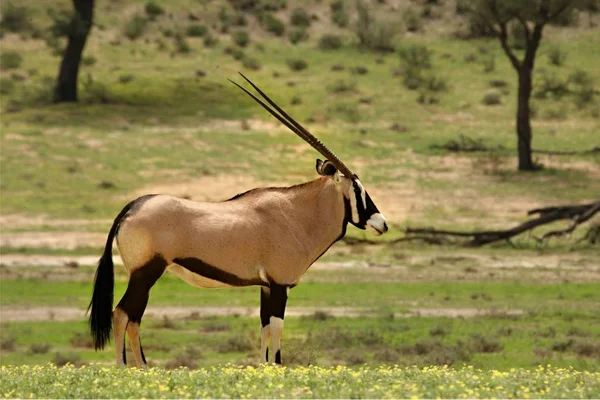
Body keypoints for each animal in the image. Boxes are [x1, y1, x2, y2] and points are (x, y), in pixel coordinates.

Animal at [89, 73, 390, 368]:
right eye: (358, 190)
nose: (382, 224)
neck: (297, 214)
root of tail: (132, 207)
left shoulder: (266, 286)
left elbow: (265, 330)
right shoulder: (279, 285)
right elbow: (277, 329)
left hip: (146, 276)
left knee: (134, 318)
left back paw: (145, 368)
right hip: (146, 272)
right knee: (122, 313)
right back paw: (124, 369)